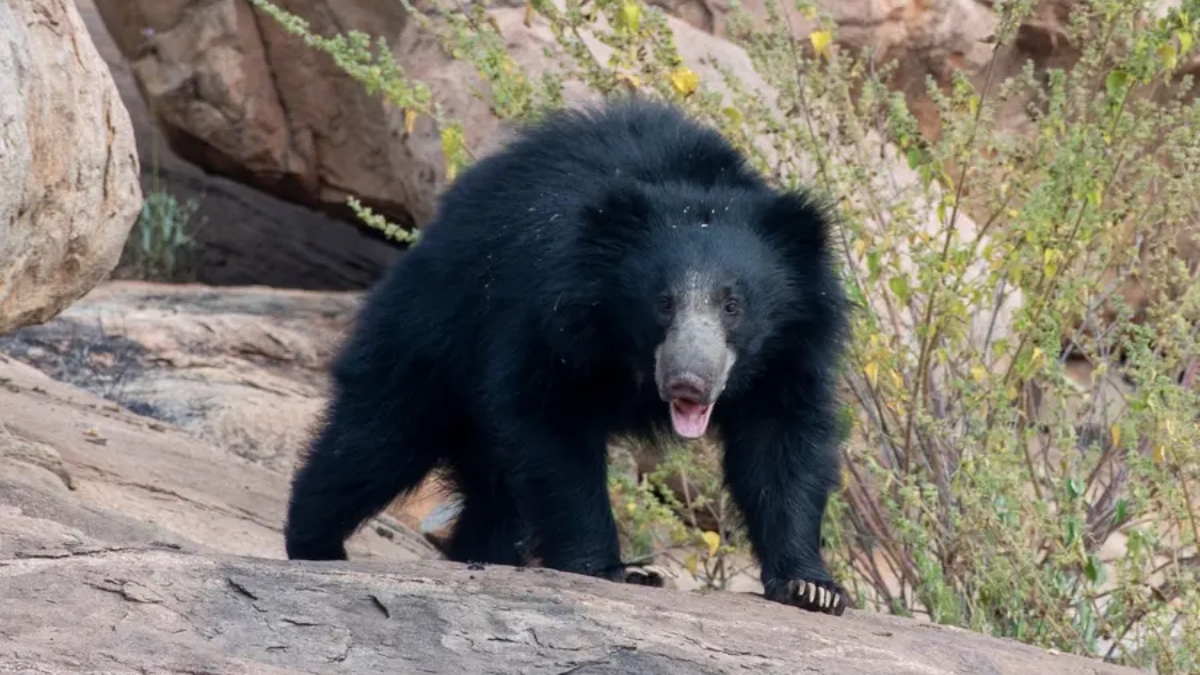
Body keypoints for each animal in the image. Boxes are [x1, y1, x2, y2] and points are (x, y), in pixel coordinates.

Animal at [284, 97, 851, 616]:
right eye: (663, 302)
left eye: (734, 305)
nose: (688, 382)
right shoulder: (547, 316)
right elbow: (551, 428)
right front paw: (610, 569)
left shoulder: (793, 348)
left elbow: (780, 442)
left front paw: (812, 587)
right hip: (434, 329)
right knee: (376, 438)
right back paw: (315, 544)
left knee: (487, 493)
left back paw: (480, 557)